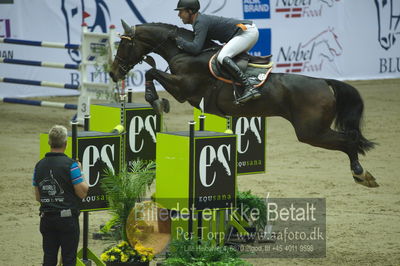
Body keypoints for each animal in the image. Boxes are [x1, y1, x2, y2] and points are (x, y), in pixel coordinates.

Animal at [109, 20, 378, 187]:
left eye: (124, 44)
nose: (113, 73)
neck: (184, 52)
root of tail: (324, 82)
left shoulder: (184, 88)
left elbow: (151, 73)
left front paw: (156, 101)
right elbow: (152, 72)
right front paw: (156, 100)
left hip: (311, 132)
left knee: (349, 141)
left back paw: (361, 174)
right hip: (314, 131)